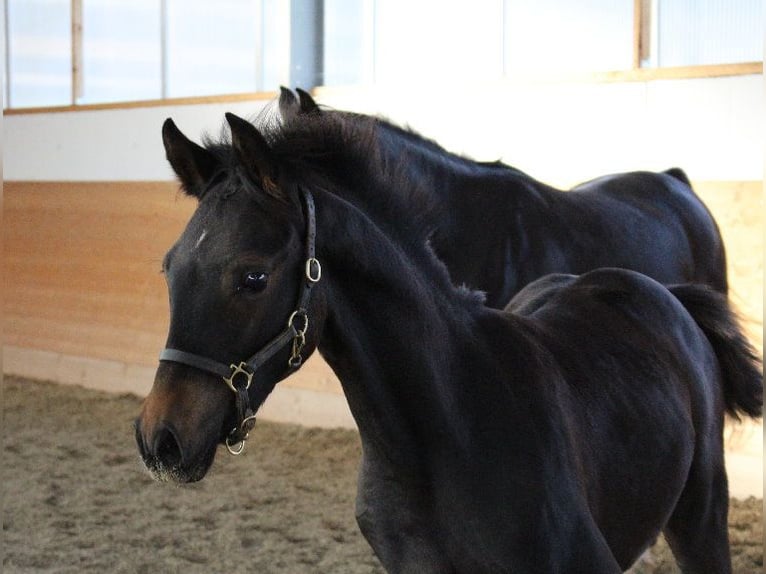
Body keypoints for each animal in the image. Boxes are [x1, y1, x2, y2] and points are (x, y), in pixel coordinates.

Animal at [135, 113, 764, 574]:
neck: (445, 429)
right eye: (169, 269)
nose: (160, 439)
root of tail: (665, 293)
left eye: (252, 278)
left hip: (702, 517)